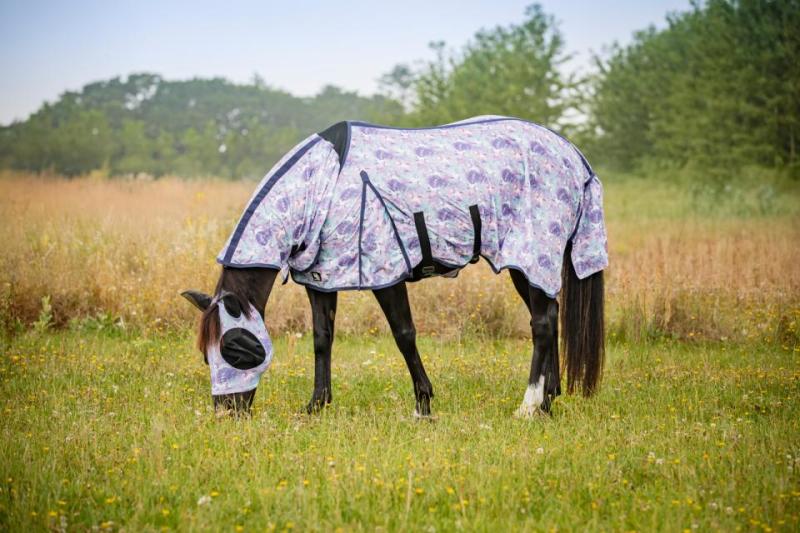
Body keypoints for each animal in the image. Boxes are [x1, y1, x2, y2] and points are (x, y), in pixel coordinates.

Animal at [181, 115, 608, 418]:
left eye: (235, 349)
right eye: (205, 355)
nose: (226, 414)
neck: (324, 186)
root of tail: (573, 155)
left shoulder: (386, 274)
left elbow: (404, 335)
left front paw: (423, 405)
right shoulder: (321, 279)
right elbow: (322, 339)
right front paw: (316, 406)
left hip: (532, 253)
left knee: (542, 323)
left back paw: (529, 406)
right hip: (528, 265)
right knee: (548, 316)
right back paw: (550, 399)